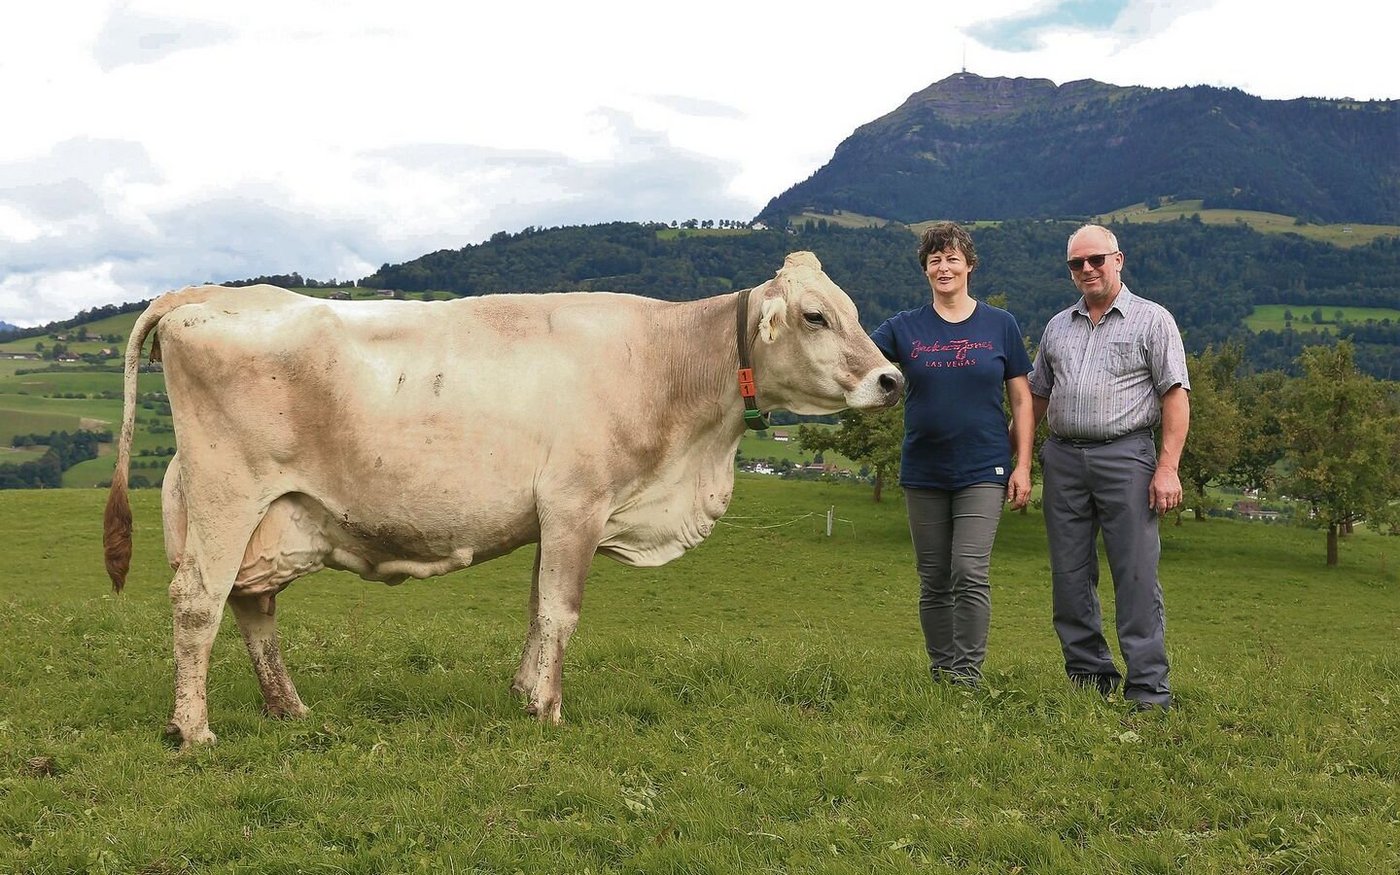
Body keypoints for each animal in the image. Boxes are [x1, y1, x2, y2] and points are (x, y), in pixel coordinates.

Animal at [103, 251, 903, 748]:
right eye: (816, 316)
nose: (892, 379)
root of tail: (207, 294)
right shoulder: (577, 502)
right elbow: (561, 610)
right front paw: (548, 711)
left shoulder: (552, 517)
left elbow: (535, 609)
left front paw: (523, 693)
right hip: (226, 494)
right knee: (199, 601)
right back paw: (192, 729)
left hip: (268, 512)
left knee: (252, 606)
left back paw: (288, 708)